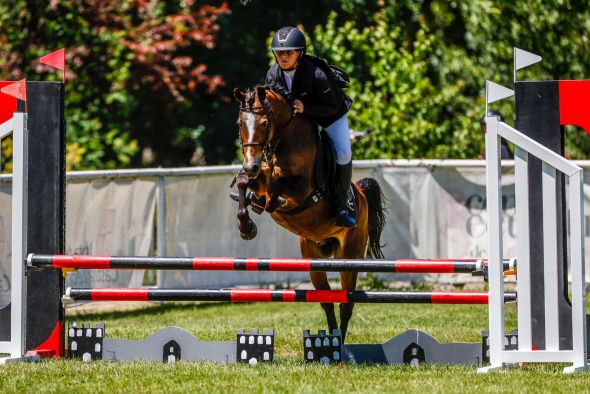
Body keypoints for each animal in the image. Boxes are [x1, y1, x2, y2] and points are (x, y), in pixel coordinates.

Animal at [231, 84, 388, 342]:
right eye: (239, 123)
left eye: (264, 123)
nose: (250, 164)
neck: (283, 140)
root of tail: (362, 194)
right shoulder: (259, 177)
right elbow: (247, 183)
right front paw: (247, 226)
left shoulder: (301, 189)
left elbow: (280, 188)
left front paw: (271, 202)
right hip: (314, 259)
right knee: (327, 300)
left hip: (349, 257)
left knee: (346, 302)